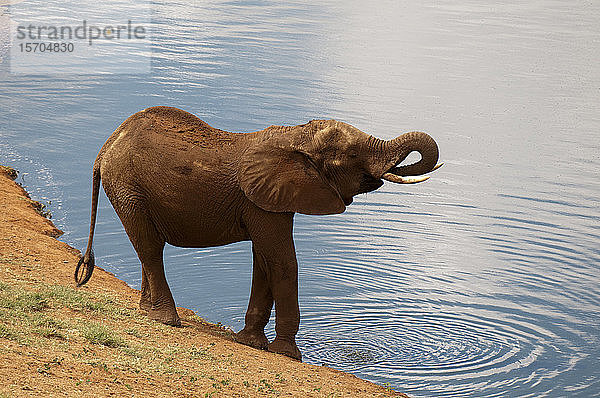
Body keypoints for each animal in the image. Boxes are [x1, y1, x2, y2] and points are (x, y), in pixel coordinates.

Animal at [75, 105, 440, 360]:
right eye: (352, 155)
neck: (296, 135)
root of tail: (106, 146)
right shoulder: (263, 202)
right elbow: (282, 262)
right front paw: (288, 354)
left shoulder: (271, 200)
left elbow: (264, 261)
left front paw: (250, 342)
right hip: (127, 186)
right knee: (151, 248)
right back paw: (167, 319)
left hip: (128, 188)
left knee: (145, 245)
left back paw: (146, 312)